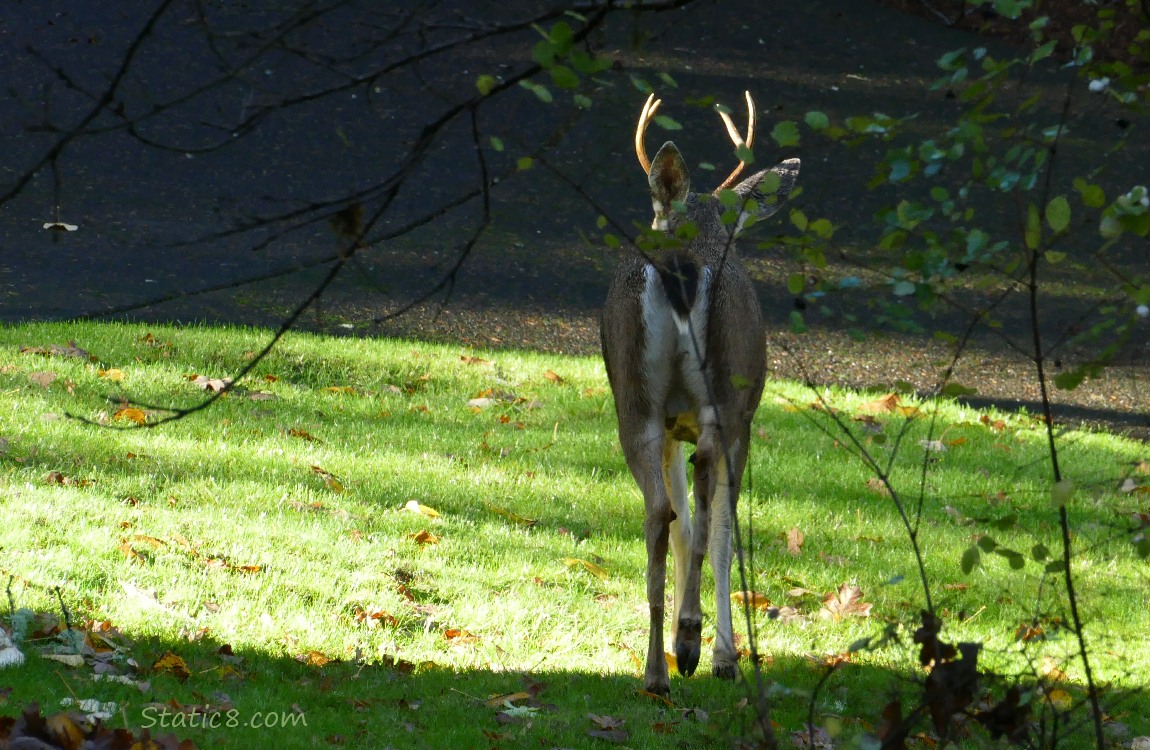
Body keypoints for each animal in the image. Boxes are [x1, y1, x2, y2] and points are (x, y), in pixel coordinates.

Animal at [602, 90, 800, 694]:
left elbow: (685, 526)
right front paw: (721, 654)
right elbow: (721, 536)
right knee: (710, 501)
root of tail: (682, 262)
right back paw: (691, 643)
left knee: (660, 515)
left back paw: (656, 671)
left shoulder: (670, 427)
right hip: (725, 399)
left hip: (634, 401)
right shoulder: (741, 421)